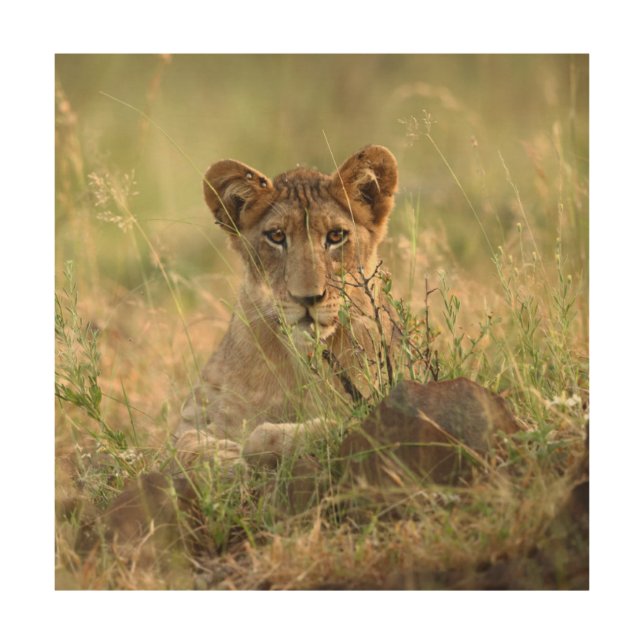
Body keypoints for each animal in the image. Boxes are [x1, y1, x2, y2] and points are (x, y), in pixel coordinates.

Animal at [174, 145, 399, 473]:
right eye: (277, 236)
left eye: (335, 236)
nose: (307, 298)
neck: (301, 362)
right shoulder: (200, 417)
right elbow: (181, 443)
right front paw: (222, 458)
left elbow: (281, 433)